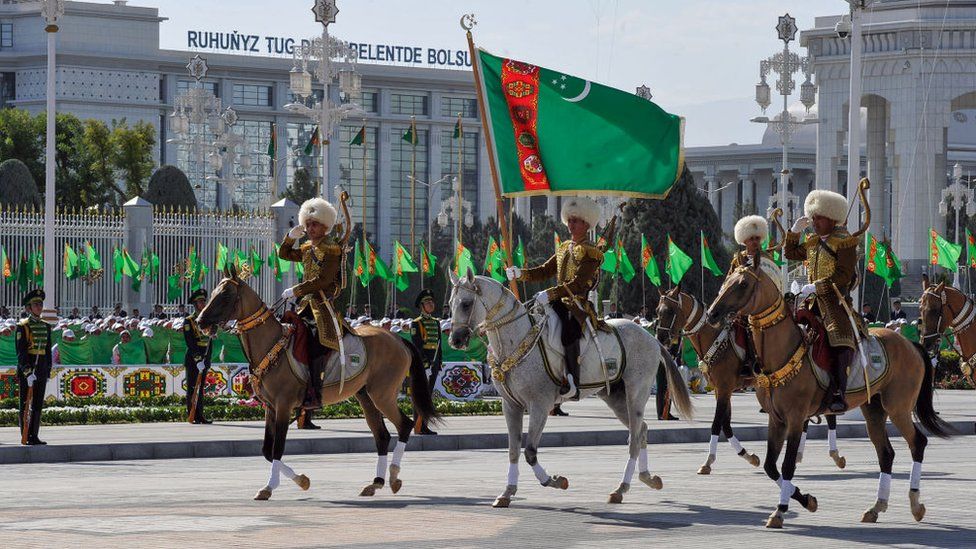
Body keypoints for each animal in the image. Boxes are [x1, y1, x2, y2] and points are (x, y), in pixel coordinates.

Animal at [195, 266, 438, 500]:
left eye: (226, 294)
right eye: (214, 292)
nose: (199, 321)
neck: (271, 345)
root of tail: (398, 340)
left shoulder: (283, 405)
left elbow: (277, 448)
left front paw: (270, 487)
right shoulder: (270, 408)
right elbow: (266, 450)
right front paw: (301, 480)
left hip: (382, 394)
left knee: (404, 425)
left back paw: (394, 477)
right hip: (365, 395)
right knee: (382, 435)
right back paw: (375, 483)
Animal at [446, 270, 692, 506]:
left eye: (466, 303)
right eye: (450, 303)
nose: (455, 340)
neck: (516, 341)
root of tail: (651, 338)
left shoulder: (539, 405)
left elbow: (530, 451)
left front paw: (554, 481)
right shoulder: (511, 405)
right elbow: (513, 450)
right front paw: (507, 493)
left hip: (636, 393)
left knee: (633, 437)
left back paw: (621, 488)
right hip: (614, 396)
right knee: (641, 431)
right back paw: (646, 478)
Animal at [704, 264, 948, 528]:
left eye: (742, 284)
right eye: (727, 280)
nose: (712, 314)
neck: (783, 351)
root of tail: (911, 344)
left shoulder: (795, 418)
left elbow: (787, 465)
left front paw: (780, 511)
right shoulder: (775, 418)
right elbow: (770, 466)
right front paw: (806, 500)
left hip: (898, 407)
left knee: (917, 443)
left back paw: (915, 505)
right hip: (874, 409)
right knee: (886, 453)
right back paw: (876, 507)